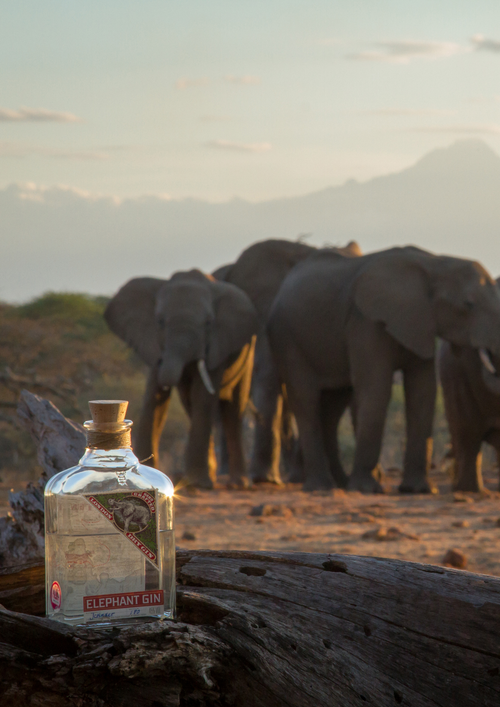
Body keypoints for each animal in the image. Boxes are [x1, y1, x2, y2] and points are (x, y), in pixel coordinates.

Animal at [104, 270, 259, 488]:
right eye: (160, 321)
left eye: (209, 323)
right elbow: (153, 397)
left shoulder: (216, 345)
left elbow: (203, 397)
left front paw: (199, 483)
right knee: (190, 404)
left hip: (248, 352)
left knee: (233, 409)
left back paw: (238, 483)